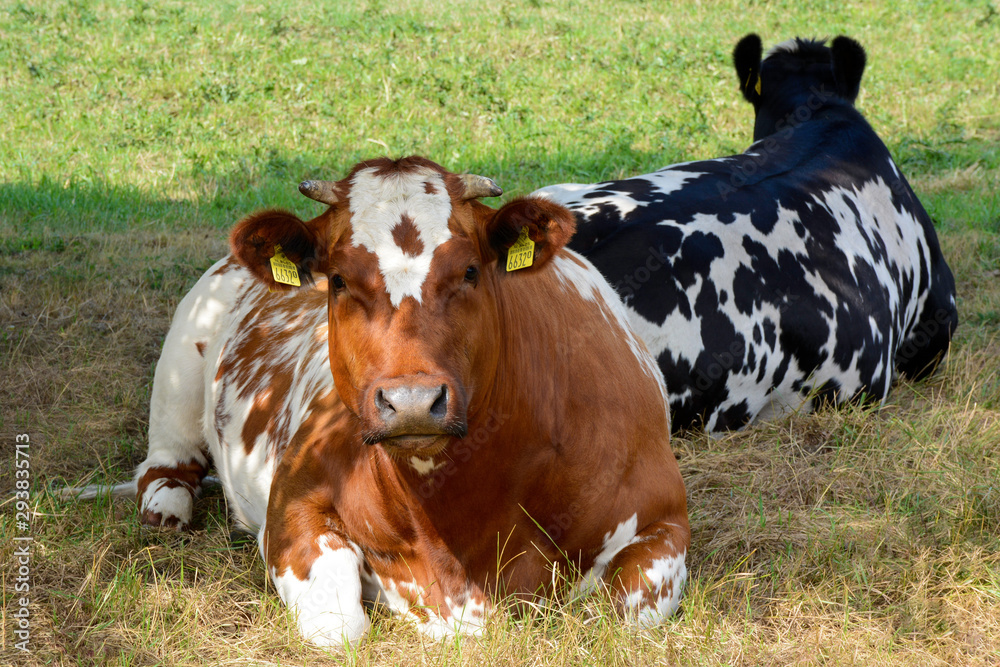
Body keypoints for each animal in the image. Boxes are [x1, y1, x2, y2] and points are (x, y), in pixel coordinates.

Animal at [135, 157, 688, 648]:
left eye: (470, 271)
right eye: (338, 280)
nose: (413, 402)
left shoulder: (663, 519)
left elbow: (622, 619)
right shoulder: (291, 506)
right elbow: (339, 628)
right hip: (181, 358)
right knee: (166, 462)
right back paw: (167, 505)